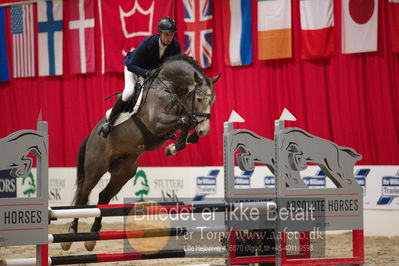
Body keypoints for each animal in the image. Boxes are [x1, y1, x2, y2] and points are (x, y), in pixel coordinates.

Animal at [61, 54, 222, 251]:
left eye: (212, 101)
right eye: (199, 99)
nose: (204, 131)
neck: (170, 87)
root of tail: (91, 135)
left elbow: (187, 121)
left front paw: (178, 145)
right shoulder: (157, 122)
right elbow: (185, 119)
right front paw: (175, 146)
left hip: (123, 172)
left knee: (103, 196)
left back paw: (91, 238)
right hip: (96, 168)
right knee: (83, 196)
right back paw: (70, 235)